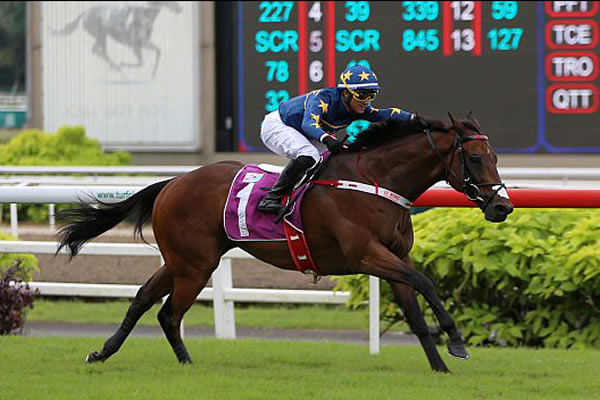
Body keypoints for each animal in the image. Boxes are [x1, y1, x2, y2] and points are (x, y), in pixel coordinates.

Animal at [58, 111, 512, 372]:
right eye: (475, 159)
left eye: (494, 157)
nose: (502, 206)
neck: (375, 182)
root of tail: (173, 182)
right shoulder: (367, 255)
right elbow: (428, 284)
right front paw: (456, 340)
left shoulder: (396, 256)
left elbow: (416, 313)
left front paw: (441, 369)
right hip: (195, 265)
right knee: (169, 313)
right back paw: (185, 365)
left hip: (182, 260)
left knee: (142, 299)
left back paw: (103, 352)